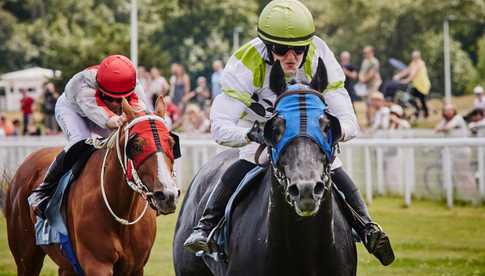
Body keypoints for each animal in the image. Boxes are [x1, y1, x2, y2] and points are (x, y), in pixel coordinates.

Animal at [4, 99, 179, 276]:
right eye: (136, 145)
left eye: (171, 143)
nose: (167, 195)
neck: (122, 213)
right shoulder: (97, 264)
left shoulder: (135, 267)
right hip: (26, 257)